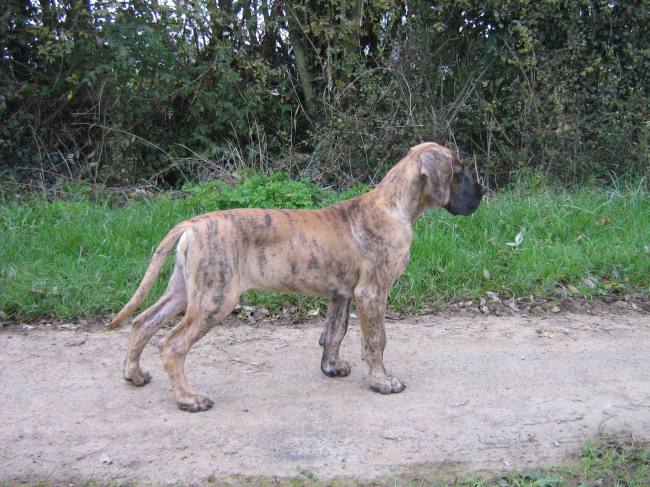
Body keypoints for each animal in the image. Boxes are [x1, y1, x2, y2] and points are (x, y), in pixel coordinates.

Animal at [107, 143, 480, 414]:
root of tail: (190, 225)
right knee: (172, 345)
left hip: (185, 291)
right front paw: (382, 381)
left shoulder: (341, 293)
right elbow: (376, 340)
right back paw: (188, 399)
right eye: (459, 172)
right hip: (216, 298)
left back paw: (134, 374)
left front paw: (331, 368)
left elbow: (334, 333)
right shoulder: (372, 292)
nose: (482, 193)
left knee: (142, 322)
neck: (394, 206)